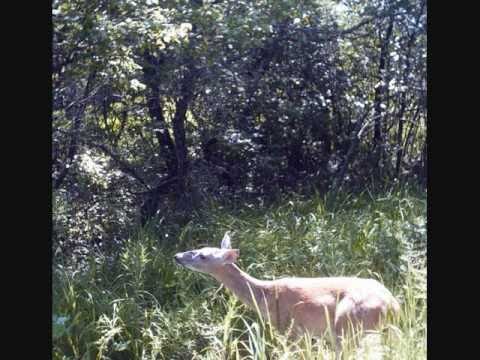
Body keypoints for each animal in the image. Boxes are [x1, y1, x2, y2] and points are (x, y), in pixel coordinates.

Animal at [174, 232, 400, 356]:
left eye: (203, 256)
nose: (177, 256)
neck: (264, 296)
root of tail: (393, 305)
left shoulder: (290, 328)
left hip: (348, 326)